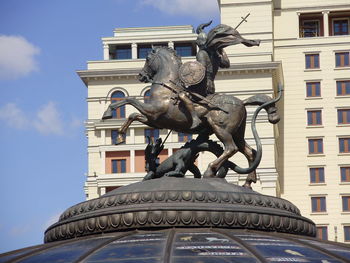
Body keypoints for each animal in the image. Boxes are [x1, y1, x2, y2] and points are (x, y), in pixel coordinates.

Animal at [101, 46, 278, 183]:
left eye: (147, 59)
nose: (141, 76)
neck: (166, 89)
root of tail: (241, 102)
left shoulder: (153, 112)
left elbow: (130, 103)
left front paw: (111, 118)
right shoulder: (154, 121)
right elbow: (133, 114)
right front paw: (119, 134)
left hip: (221, 129)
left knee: (231, 148)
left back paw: (210, 170)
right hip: (238, 133)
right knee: (250, 152)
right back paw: (248, 181)